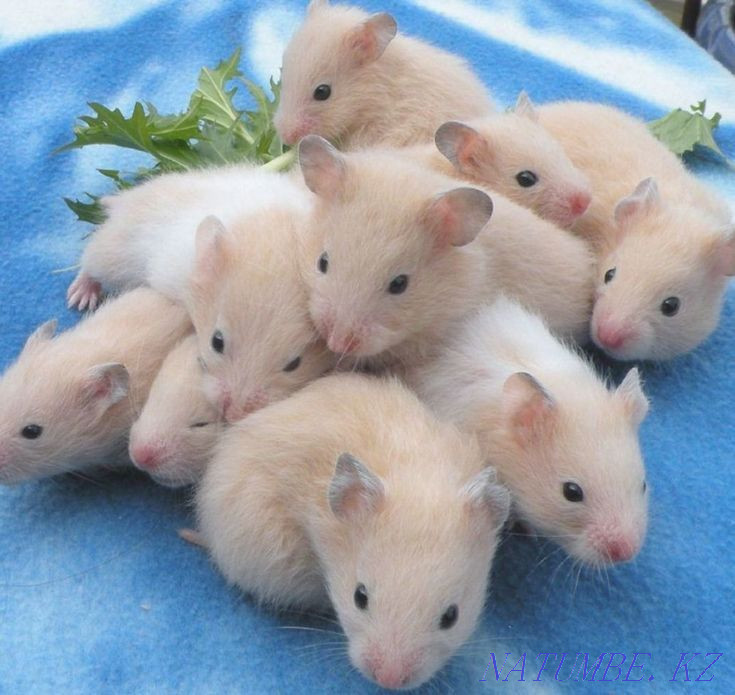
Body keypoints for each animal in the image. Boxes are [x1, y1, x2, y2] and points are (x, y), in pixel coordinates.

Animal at [68, 168, 336, 422]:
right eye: (216, 342)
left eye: (295, 364)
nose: (232, 415)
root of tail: (125, 199)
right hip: (112, 252)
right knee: (89, 261)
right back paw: (80, 296)